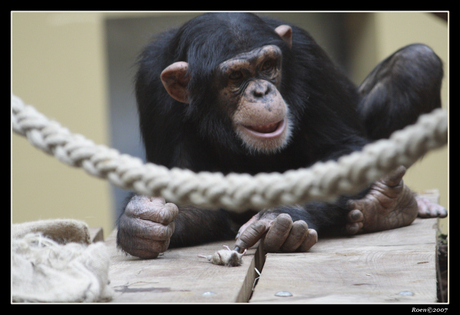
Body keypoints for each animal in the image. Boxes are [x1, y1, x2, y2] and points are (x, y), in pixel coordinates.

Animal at [116, 12, 446, 260]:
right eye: (235, 76)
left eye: (267, 66)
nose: (261, 91)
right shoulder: (152, 82)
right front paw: (140, 223)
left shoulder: (307, 55)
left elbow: (343, 150)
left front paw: (275, 219)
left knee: (416, 62)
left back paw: (388, 203)